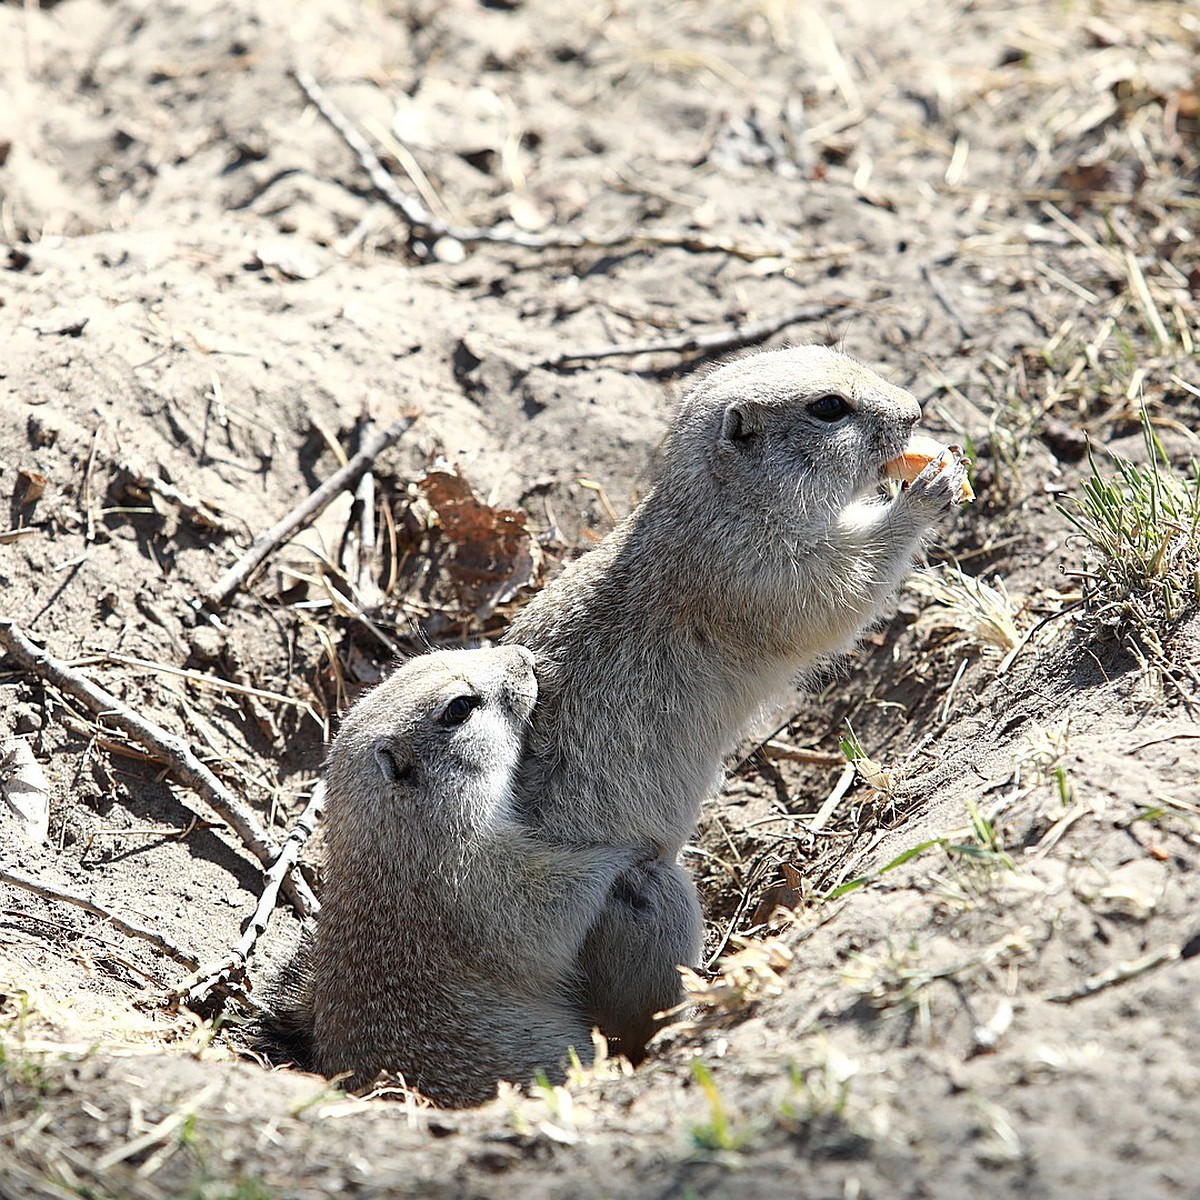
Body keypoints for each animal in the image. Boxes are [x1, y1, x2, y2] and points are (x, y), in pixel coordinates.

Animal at [309, 643, 638, 1099]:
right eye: (459, 707)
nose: (523, 656)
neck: (396, 833)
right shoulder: (471, 877)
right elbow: (544, 910)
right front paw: (623, 856)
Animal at [501, 345, 969, 1051]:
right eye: (827, 406)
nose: (915, 411)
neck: (722, 503)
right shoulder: (759, 570)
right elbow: (837, 588)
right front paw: (927, 491)